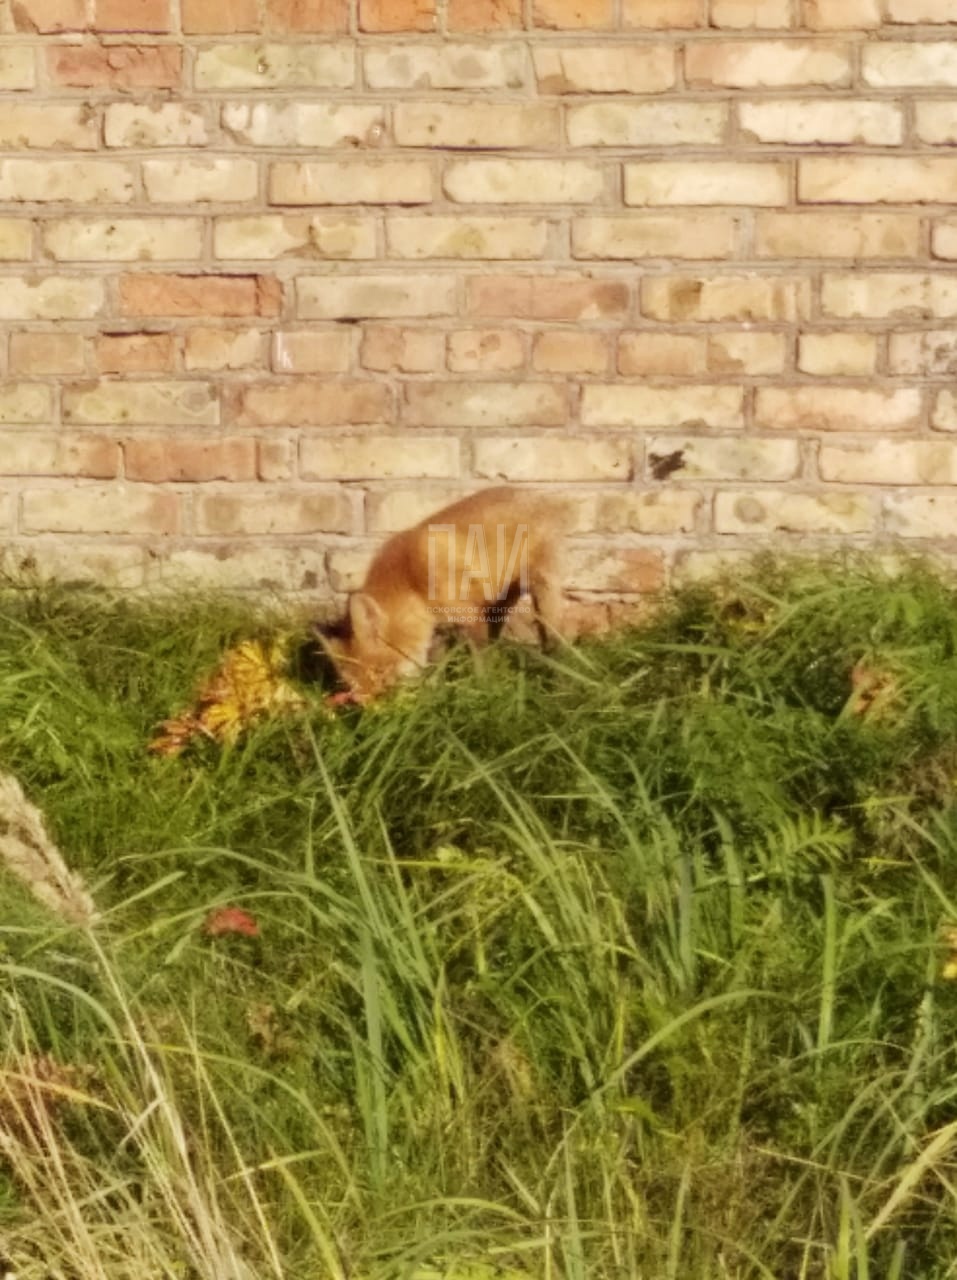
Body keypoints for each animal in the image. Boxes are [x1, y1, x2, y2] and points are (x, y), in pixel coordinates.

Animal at [317, 486, 570, 699]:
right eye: (354, 688)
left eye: (379, 673)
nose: (371, 711)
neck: (411, 581)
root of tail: (534, 494)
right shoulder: (437, 628)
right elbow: (435, 665)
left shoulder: (470, 617)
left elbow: (480, 665)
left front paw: (483, 690)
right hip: (499, 601)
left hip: (541, 593)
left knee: (556, 639)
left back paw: (558, 679)